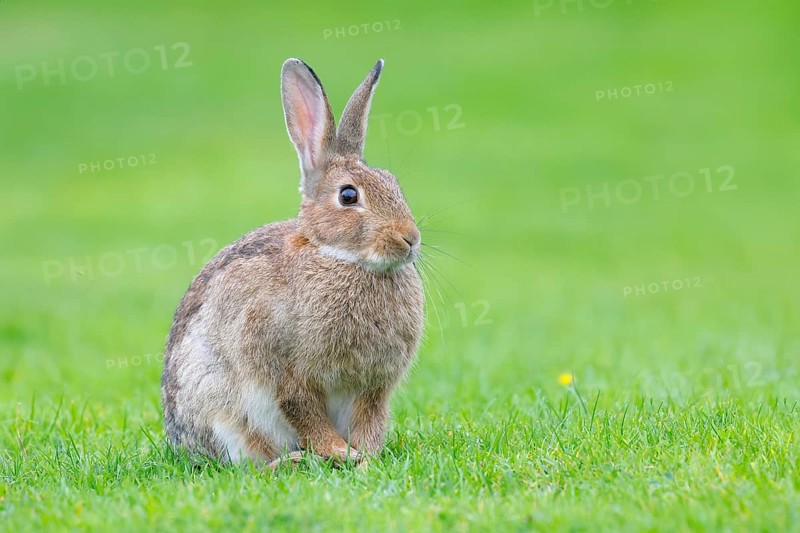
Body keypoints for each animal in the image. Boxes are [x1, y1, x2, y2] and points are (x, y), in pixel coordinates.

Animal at [161, 58, 424, 468]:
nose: (410, 239)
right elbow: (304, 410)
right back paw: (293, 461)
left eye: (393, 184)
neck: (337, 256)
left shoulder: (373, 386)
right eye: (348, 196)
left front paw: (365, 457)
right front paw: (341, 453)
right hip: (219, 406)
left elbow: (370, 417)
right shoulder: (284, 370)